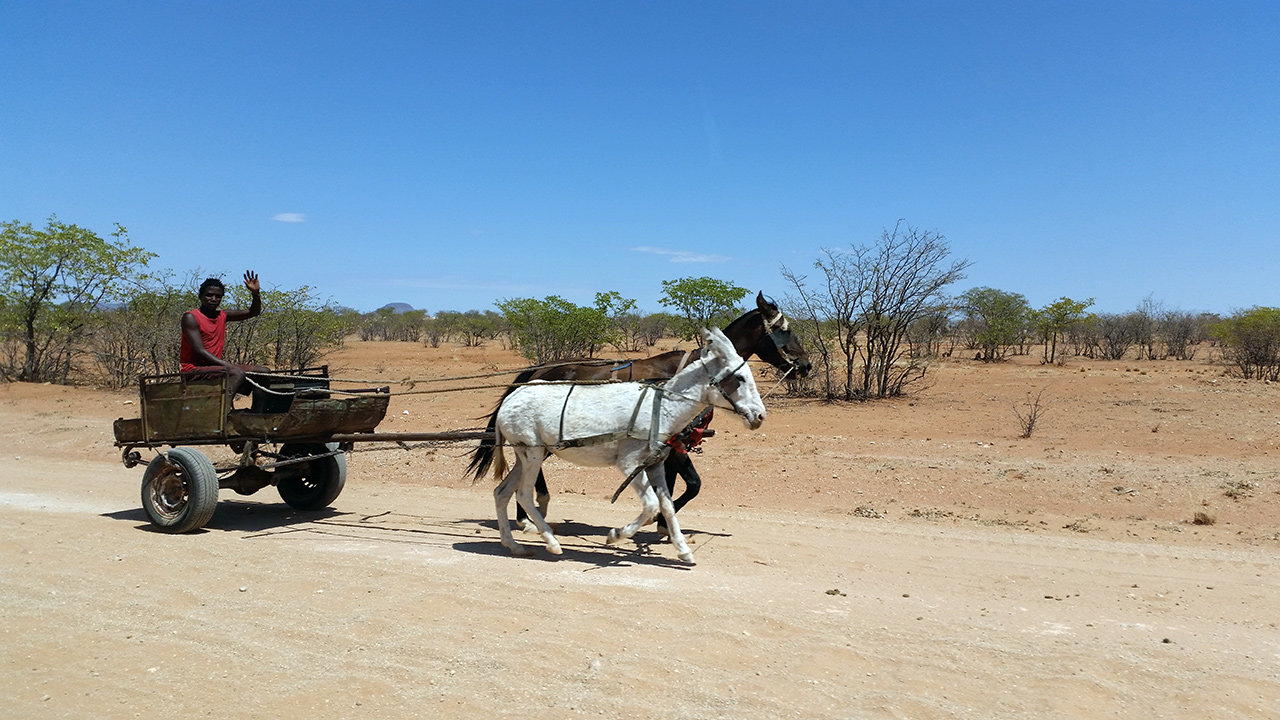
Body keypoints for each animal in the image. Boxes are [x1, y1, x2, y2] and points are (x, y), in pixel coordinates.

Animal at [467, 291, 808, 526]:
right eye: (785, 330)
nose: (805, 365)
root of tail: (539, 371)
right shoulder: (675, 445)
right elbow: (692, 485)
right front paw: (660, 523)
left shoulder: (668, 446)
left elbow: (674, 485)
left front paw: (661, 523)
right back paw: (528, 514)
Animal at [487, 327, 766, 563]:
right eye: (740, 378)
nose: (760, 416)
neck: (661, 408)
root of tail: (511, 398)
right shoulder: (630, 464)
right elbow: (652, 506)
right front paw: (616, 535)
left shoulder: (656, 464)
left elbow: (667, 506)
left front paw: (683, 550)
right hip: (532, 453)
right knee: (523, 494)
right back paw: (552, 542)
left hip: (528, 454)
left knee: (502, 492)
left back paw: (514, 545)